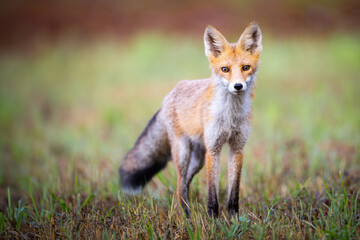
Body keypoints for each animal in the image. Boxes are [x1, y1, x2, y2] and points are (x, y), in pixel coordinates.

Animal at [119, 22, 262, 218]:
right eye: (225, 69)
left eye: (246, 67)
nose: (238, 86)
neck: (230, 115)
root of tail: (171, 93)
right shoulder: (213, 150)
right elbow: (212, 192)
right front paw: (212, 218)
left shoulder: (237, 148)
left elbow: (234, 192)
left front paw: (234, 218)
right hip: (183, 154)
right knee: (180, 186)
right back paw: (185, 215)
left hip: (197, 160)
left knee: (184, 185)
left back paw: (187, 211)